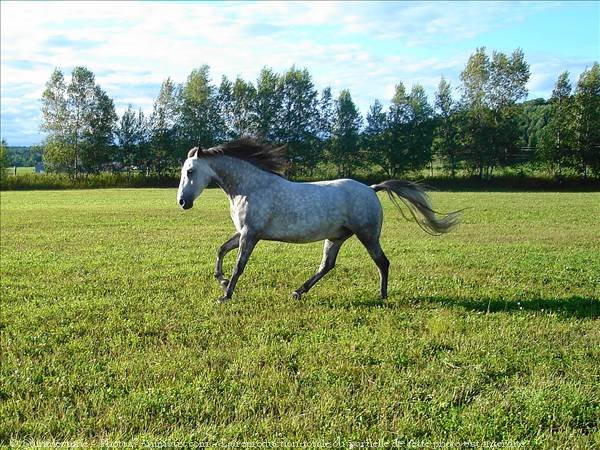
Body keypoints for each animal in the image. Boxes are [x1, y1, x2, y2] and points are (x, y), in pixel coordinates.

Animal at [177, 139, 460, 300]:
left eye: (190, 171)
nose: (182, 202)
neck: (250, 187)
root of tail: (371, 189)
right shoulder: (245, 232)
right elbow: (221, 249)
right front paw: (222, 281)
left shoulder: (250, 234)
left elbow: (239, 265)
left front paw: (226, 294)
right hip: (336, 237)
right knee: (327, 265)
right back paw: (298, 292)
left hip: (368, 235)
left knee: (382, 262)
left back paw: (382, 295)